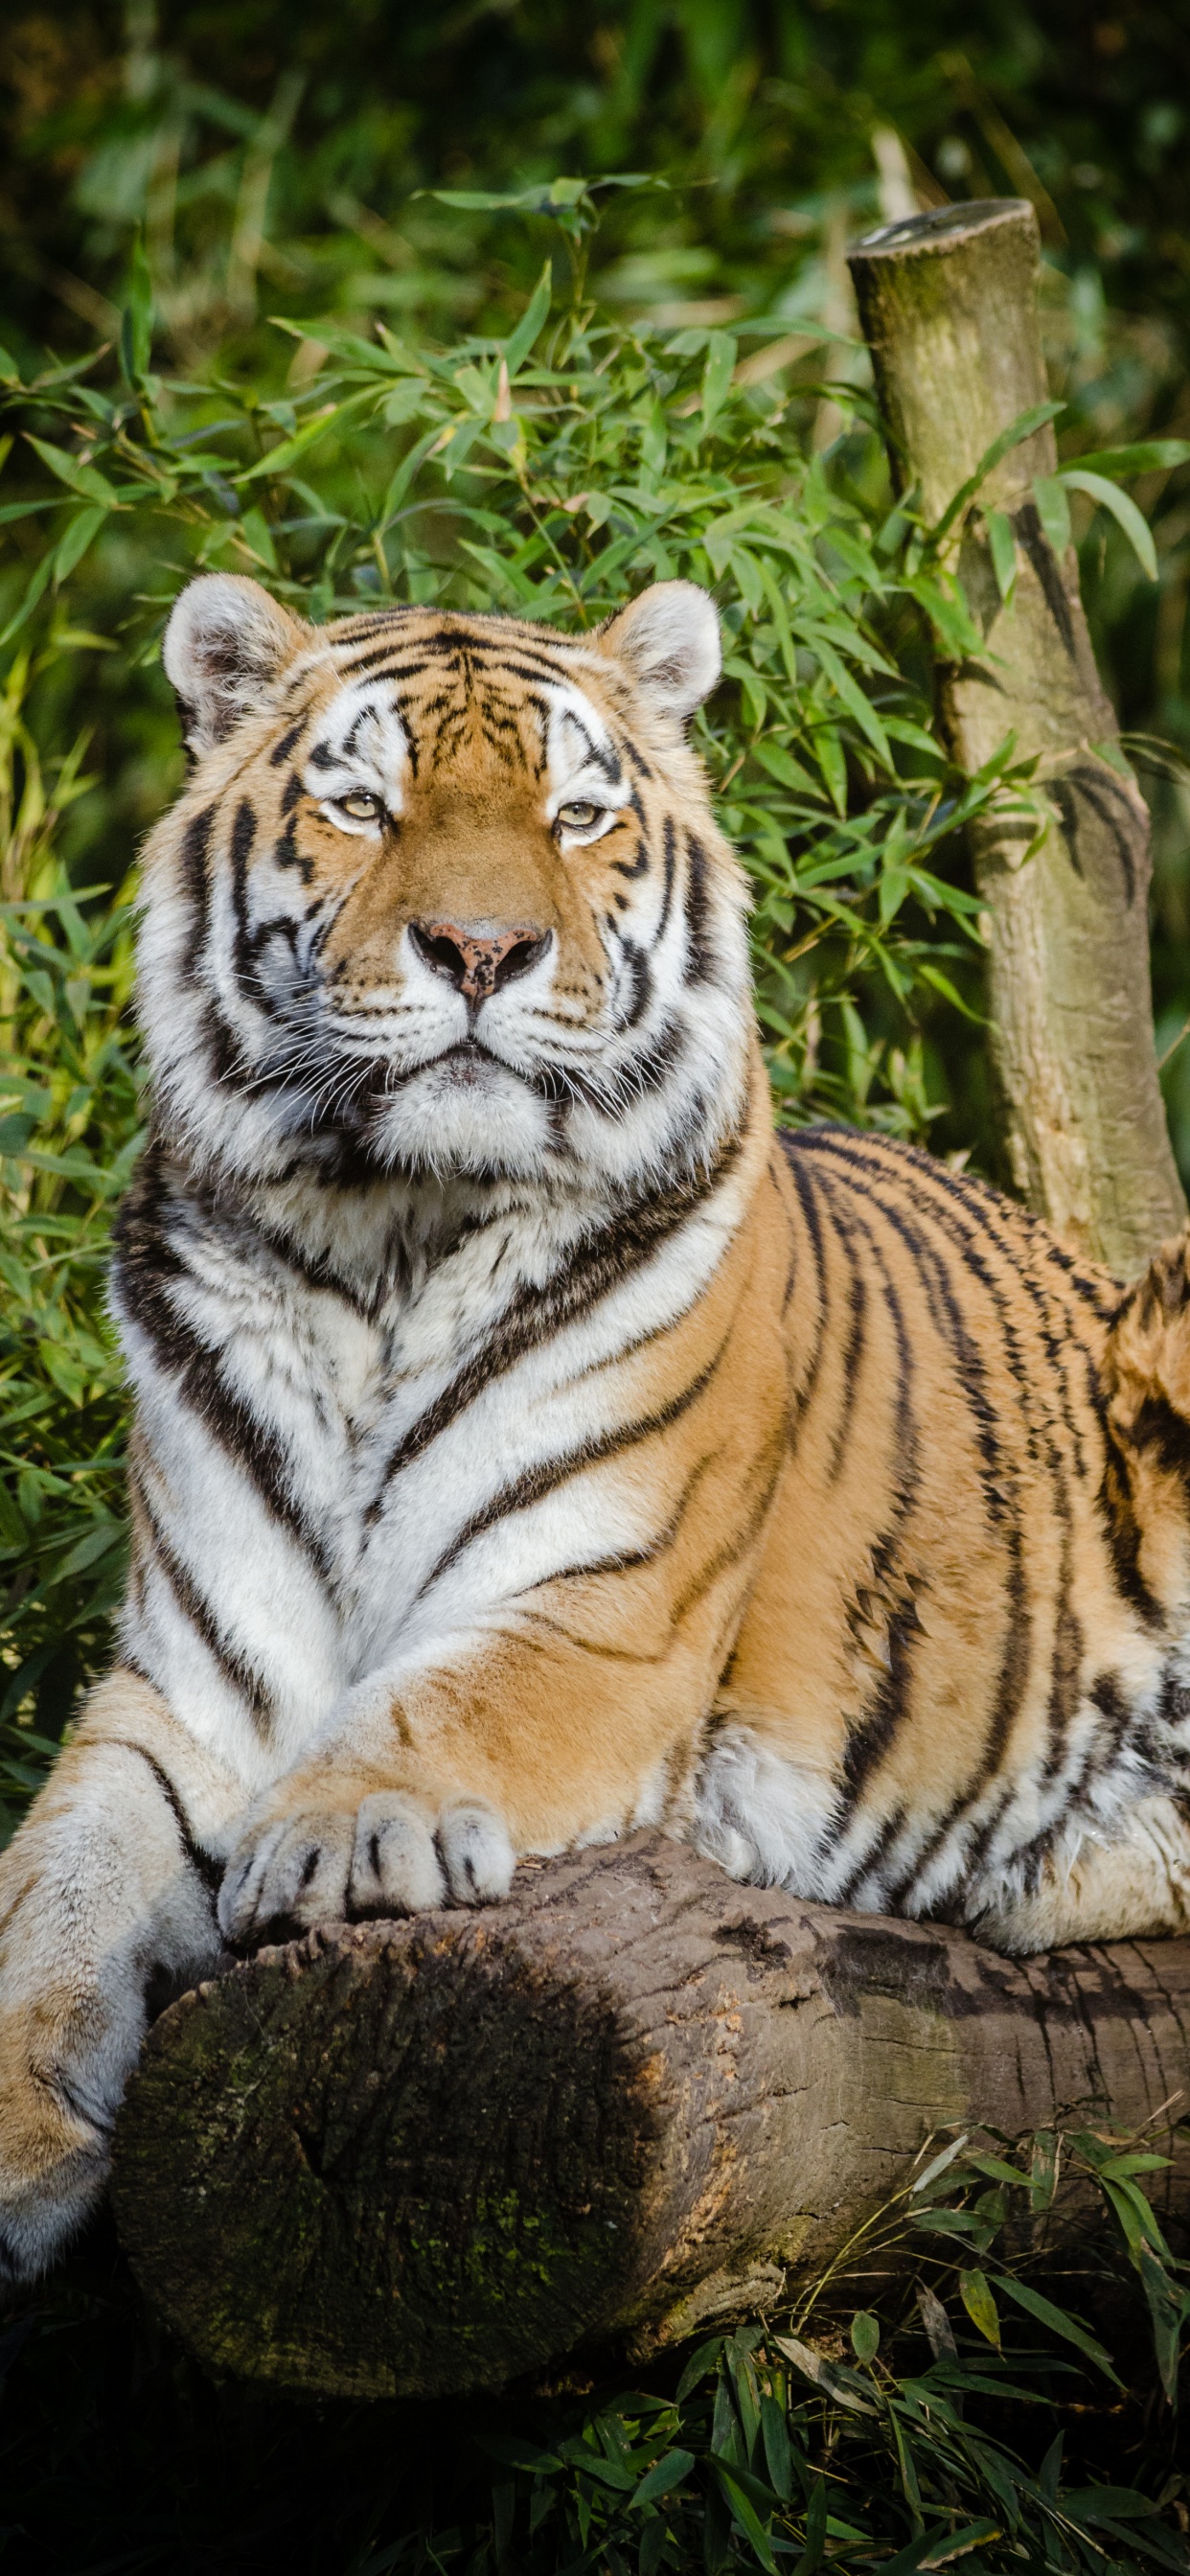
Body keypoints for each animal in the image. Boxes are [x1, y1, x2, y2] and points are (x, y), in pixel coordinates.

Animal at [4, 568, 1190, 2290]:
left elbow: (440, 1706)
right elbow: (49, 1885)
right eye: (361, 806)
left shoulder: (600, 1614)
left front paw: (339, 1835)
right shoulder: (191, 1688)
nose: (481, 948)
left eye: (575, 816)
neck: (383, 1241)